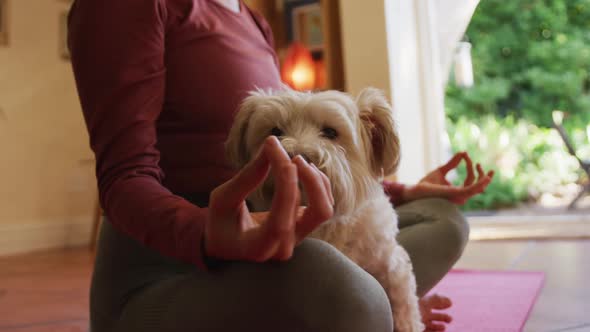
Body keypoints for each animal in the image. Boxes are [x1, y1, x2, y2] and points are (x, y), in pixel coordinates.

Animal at [227, 87, 426, 330]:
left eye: (330, 132)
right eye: (275, 131)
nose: (296, 156)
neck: (330, 226)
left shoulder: (394, 267)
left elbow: (405, 309)